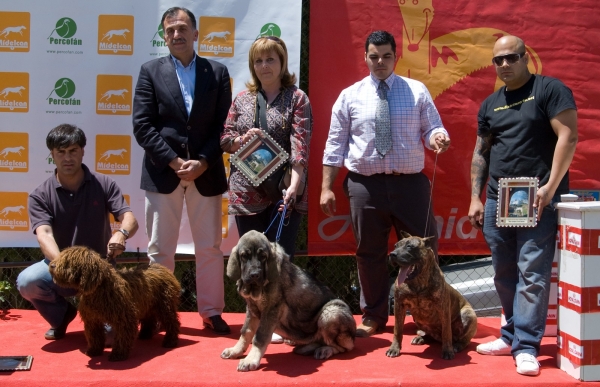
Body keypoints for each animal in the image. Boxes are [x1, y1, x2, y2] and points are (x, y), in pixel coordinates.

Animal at [49, 247, 182, 362]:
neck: (99, 288)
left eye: (67, 262)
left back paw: (170, 341)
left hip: (164, 305)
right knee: (150, 319)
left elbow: (122, 336)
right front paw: (94, 351)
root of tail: (163, 269)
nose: (51, 265)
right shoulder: (92, 320)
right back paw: (145, 334)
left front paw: (118, 354)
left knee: (172, 322)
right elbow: (94, 336)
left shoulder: (124, 318)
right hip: (147, 304)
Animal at [221, 230, 356, 372]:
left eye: (263, 256)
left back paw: (324, 349)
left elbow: (260, 336)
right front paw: (235, 350)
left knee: (344, 347)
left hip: (331, 311)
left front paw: (250, 360)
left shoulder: (271, 310)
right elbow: (245, 332)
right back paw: (305, 346)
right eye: (244, 256)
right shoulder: (252, 309)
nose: (254, 275)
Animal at [384, 230, 478, 360]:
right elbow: (397, 330)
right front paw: (394, 348)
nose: (392, 254)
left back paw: (457, 346)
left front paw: (447, 351)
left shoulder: (443, 308)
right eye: (395, 246)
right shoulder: (399, 305)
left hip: (468, 314)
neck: (417, 282)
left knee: (464, 339)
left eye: (410, 246)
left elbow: (446, 332)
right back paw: (421, 338)